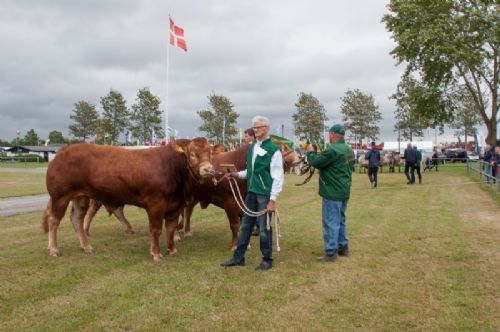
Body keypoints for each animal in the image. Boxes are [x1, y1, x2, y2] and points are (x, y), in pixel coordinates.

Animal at [42, 138, 213, 262]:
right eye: (192, 154)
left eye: (210, 153)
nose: (209, 169)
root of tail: (63, 151)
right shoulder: (156, 204)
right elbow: (156, 230)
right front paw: (156, 254)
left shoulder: (175, 205)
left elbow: (171, 228)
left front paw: (172, 250)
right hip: (60, 196)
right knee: (54, 220)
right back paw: (53, 249)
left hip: (81, 196)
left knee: (77, 218)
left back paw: (86, 247)